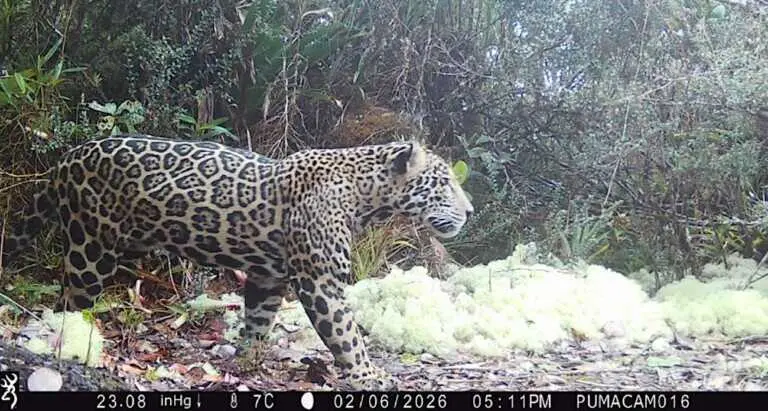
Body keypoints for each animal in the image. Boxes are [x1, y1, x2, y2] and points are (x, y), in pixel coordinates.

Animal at [0, 134, 474, 390]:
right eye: (444, 183)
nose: (470, 212)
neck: (366, 197)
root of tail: (66, 157)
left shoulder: (268, 276)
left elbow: (259, 321)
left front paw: (248, 360)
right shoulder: (320, 280)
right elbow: (346, 335)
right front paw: (368, 375)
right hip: (91, 248)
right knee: (71, 300)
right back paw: (73, 341)